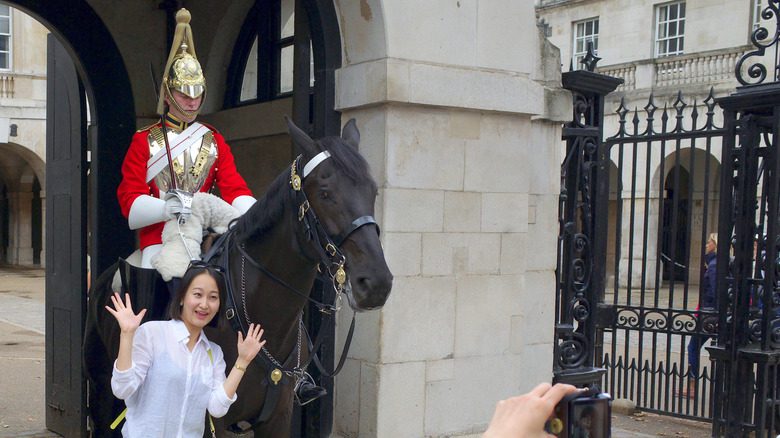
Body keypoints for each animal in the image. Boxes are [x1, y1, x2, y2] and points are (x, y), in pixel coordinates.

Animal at [84, 118, 396, 436]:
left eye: (373, 191)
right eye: (325, 192)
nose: (376, 283)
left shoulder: (278, 417)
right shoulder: (213, 419)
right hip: (102, 393)